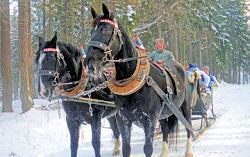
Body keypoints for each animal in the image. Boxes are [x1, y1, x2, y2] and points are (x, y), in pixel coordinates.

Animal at [84, 3, 193, 157]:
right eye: (91, 32)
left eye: (105, 29)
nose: (89, 63)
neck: (132, 80)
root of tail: (180, 65)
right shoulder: (122, 119)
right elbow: (126, 148)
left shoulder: (150, 118)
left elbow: (148, 148)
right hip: (164, 113)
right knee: (165, 129)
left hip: (185, 106)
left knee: (188, 125)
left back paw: (189, 150)